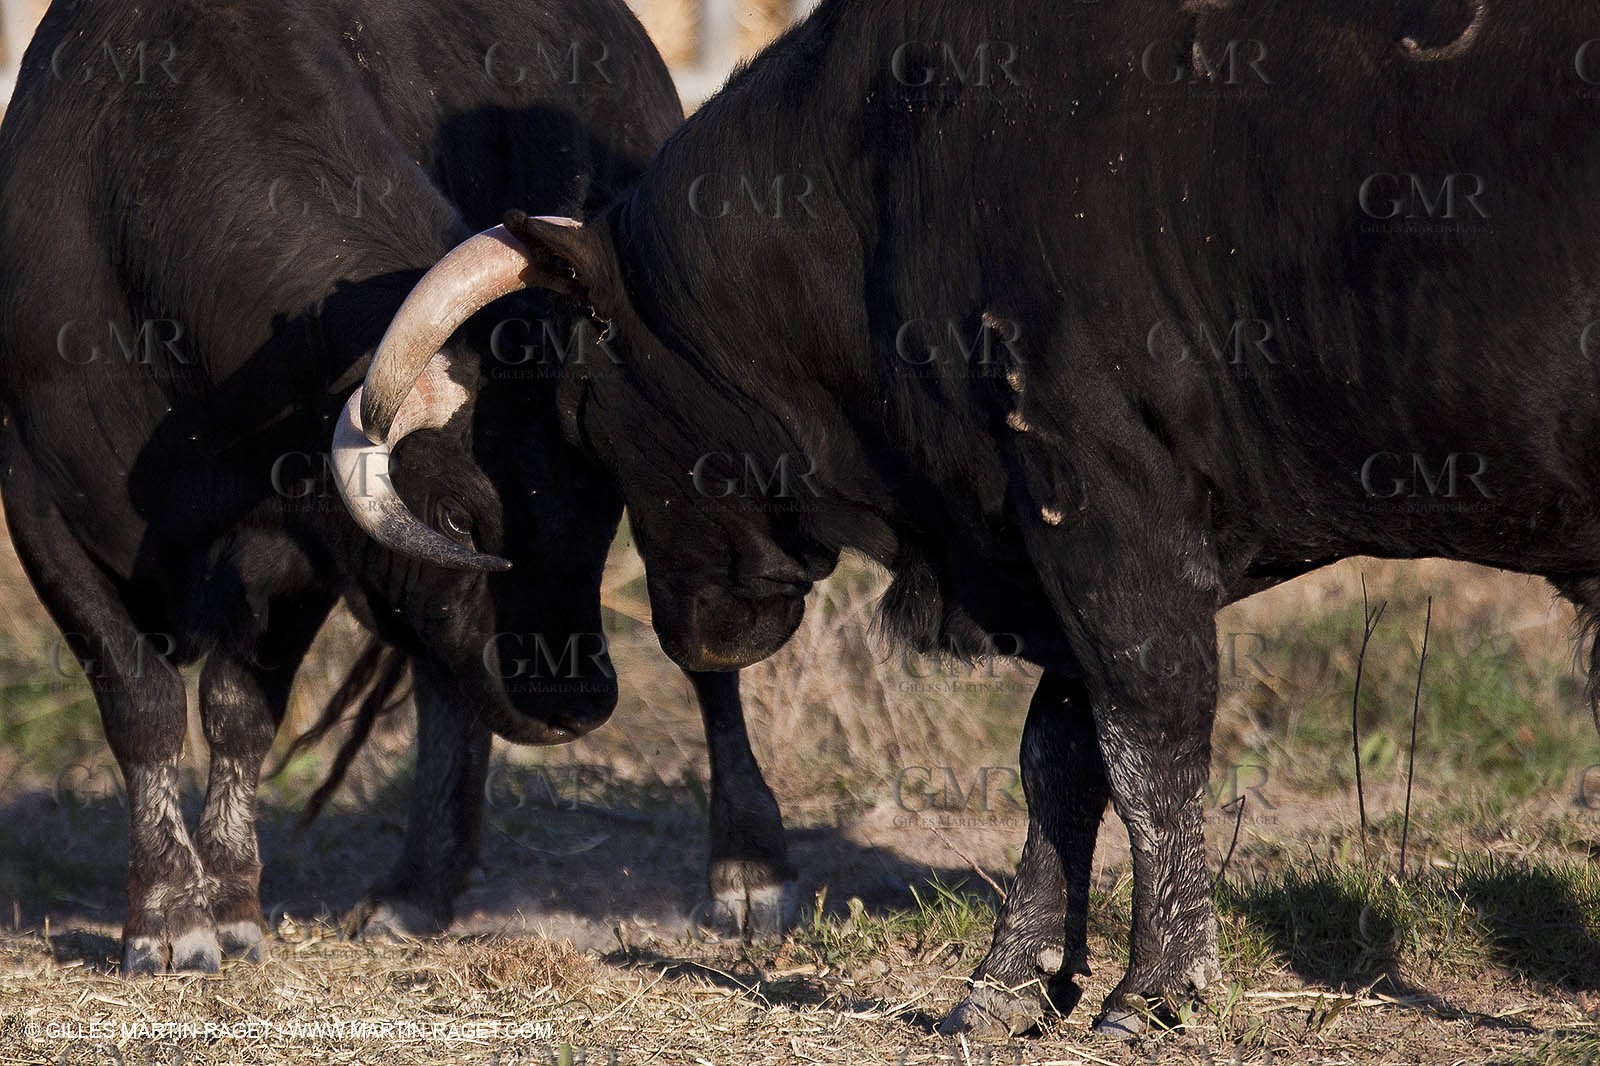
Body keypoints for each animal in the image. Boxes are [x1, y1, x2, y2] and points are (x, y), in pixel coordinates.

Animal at [0, 0, 796, 974]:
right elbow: (142, 704)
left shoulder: (290, 544)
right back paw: (418, 888)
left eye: (602, 507)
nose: (576, 702)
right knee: (450, 685)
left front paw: (229, 906)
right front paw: (169, 917)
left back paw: (746, 872)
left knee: (702, 657)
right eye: (456, 514)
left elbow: (238, 709)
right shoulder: (35, 505)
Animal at [351, 0, 1594, 1040]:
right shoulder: (1054, 540)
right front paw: (1012, 979)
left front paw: (1155, 988)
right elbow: (1059, 752)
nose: (693, 636)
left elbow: (1145, 737)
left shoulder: (1102, 500)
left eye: (583, 411)